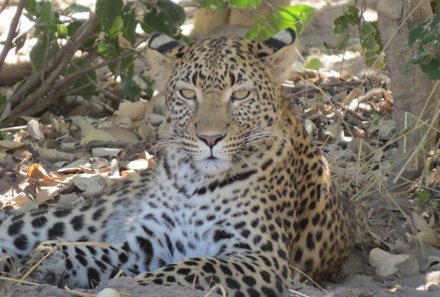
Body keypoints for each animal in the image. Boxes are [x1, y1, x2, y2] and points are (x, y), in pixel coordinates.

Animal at [0, 29, 352, 296]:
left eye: (240, 95)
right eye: (187, 93)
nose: (210, 139)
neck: (193, 181)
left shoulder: (262, 259)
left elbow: (188, 269)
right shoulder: (146, 242)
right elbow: (91, 251)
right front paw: (46, 258)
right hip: (74, 218)